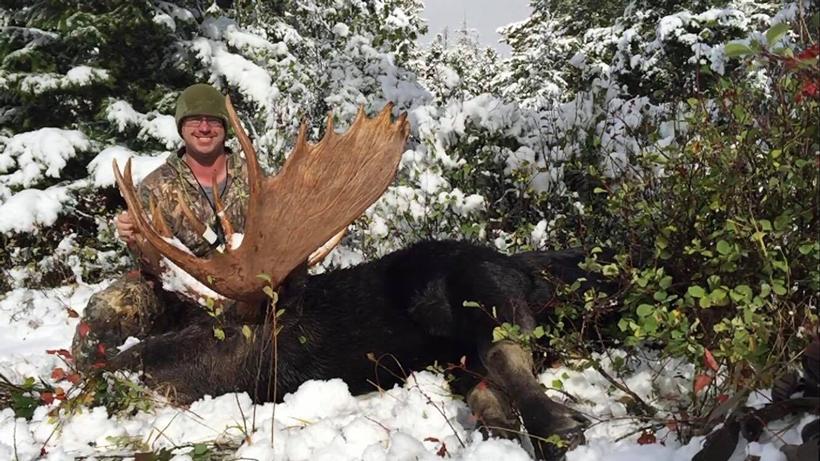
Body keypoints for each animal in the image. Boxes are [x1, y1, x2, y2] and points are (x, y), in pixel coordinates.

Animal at [107, 97, 594, 460]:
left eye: (221, 332)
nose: (112, 367)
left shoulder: (477, 271)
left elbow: (503, 351)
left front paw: (561, 425)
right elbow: (485, 389)